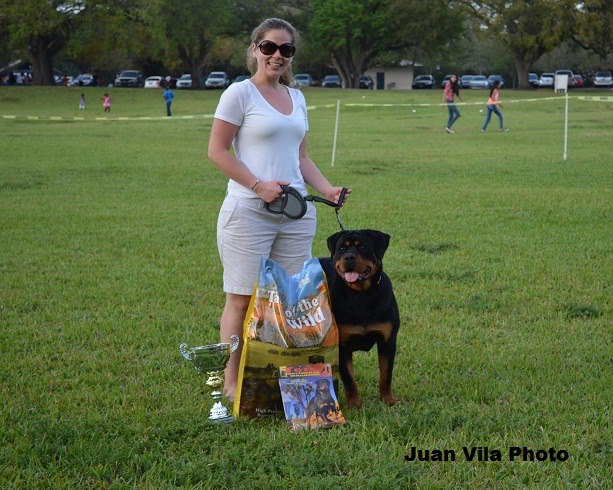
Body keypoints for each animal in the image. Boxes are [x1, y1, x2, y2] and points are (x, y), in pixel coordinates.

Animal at [318, 231, 400, 410]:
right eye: (342, 248)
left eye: (363, 247)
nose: (349, 257)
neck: (362, 295)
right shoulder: (342, 346)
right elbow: (349, 379)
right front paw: (354, 404)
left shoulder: (387, 341)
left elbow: (386, 374)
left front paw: (388, 399)